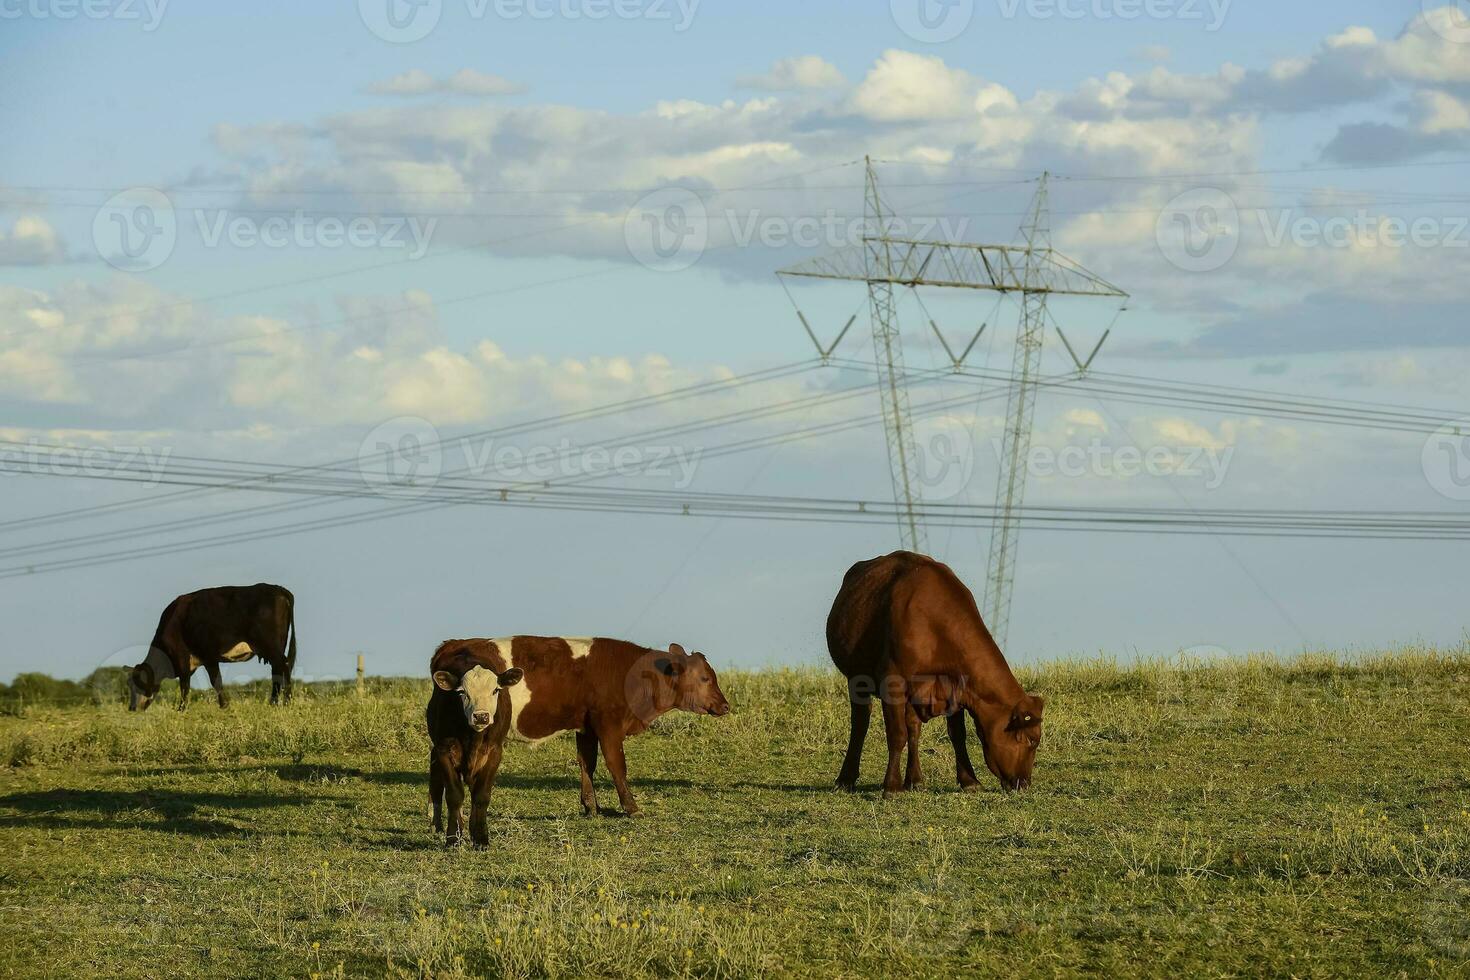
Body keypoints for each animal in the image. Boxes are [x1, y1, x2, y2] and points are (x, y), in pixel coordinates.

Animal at [130, 581, 298, 714]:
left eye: (136, 684)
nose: (131, 709)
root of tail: (278, 589)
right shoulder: (205, 659)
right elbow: (215, 682)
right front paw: (225, 706)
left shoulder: (190, 658)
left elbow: (192, 684)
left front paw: (181, 709)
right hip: (276, 647)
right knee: (277, 670)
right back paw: (274, 703)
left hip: (270, 646)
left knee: (284, 665)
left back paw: (286, 702)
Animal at [426, 640, 729, 816]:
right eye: (705, 678)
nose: (725, 705)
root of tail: (450, 644)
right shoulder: (608, 725)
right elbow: (616, 765)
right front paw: (631, 808)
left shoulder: (586, 728)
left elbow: (587, 764)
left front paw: (591, 807)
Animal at [429, 652, 526, 852]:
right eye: (462, 692)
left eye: (495, 690)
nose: (481, 716)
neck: (472, 738)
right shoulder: (443, 750)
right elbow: (454, 795)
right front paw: (453, 838)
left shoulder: (494, 753)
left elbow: (481, 796)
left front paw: (481, 838)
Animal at [829, 552, 1046, 799]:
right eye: (1031, 740)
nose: (1025, 783)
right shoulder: (893, 683)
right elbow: (896, 734)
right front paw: (891, 787)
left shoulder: (957, 686)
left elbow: (957, 734)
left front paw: (970, 781)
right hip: (856, 679)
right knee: (860, 724)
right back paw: (846, 779)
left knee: (913, 729)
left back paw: (915, 780)